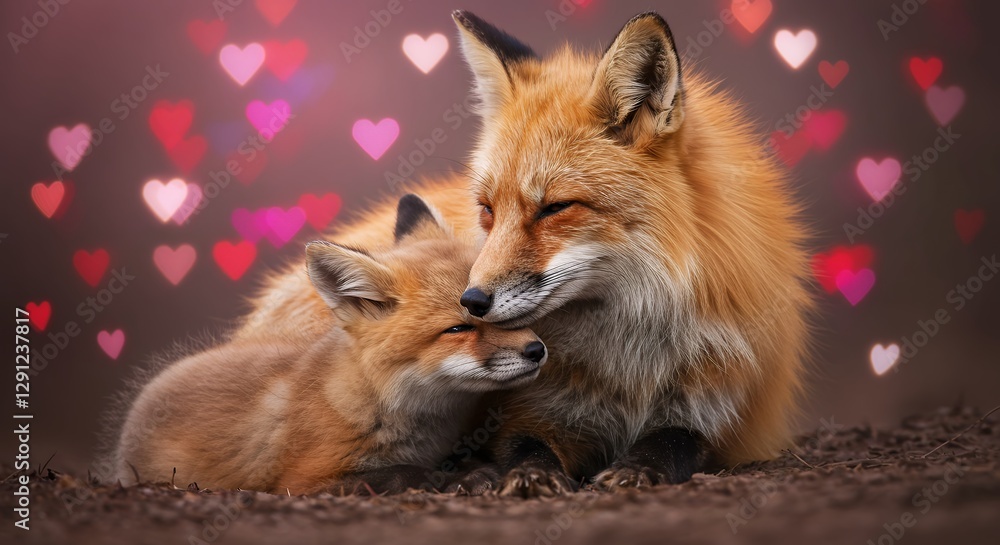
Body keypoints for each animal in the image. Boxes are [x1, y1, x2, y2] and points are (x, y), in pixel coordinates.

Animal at [111, 195, 547, 494]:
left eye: (496, 309)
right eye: (459, 328)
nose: (537, 351)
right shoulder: (303, 481)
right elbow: (402, 474)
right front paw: (467, 476)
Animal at [230, 10, 812, 495]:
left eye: (555, 208)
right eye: (487, 209)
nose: (471, 301)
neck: (626, 357)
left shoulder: (719, 413)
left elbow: (675, 445)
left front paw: (636, 468)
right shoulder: (522, 411)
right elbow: (527, 449)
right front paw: (528, 476)